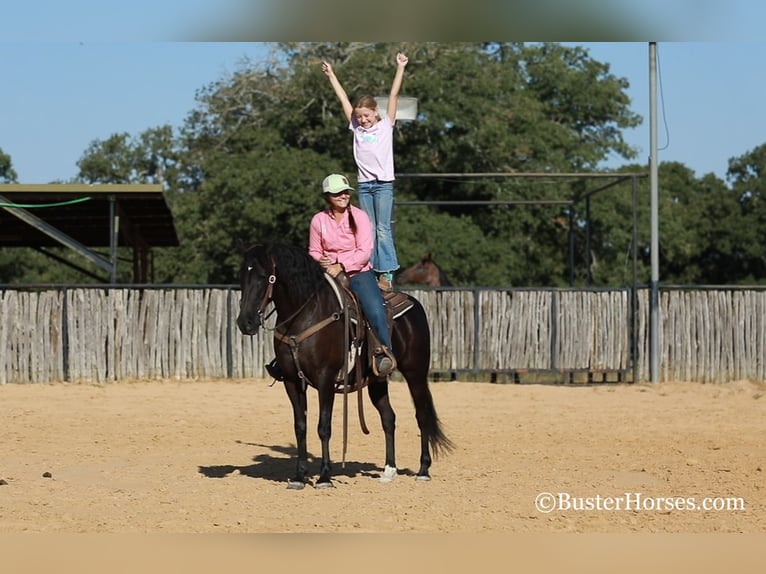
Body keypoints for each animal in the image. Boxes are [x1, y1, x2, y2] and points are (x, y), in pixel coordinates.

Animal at [238, 243, 456, 490]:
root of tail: (415, 305)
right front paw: (299, 476)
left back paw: (423, 469)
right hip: (377, 381)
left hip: (415, 373)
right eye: (242, 276)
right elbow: (300, 426)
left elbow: (323, 427)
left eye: (263, 276)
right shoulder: (293, 381)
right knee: (388, 418)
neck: (306, 314)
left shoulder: (325, 379)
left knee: (422, 415)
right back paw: (389, 470)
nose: (245, 322)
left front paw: (324, 476)